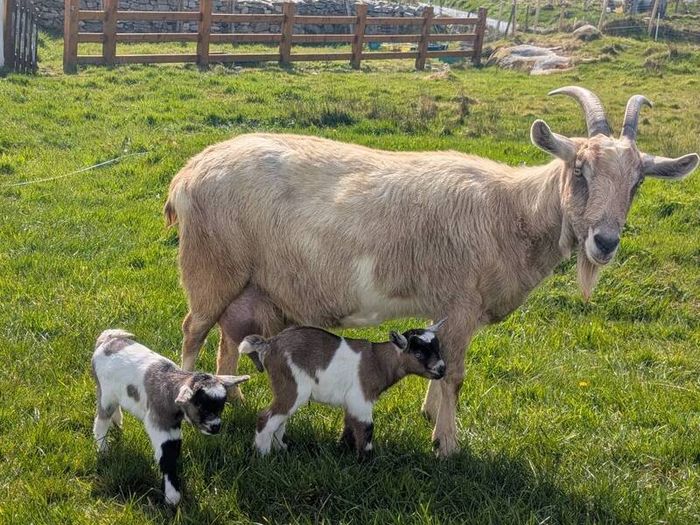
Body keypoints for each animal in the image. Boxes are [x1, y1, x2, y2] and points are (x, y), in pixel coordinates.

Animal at [91, 329, 249, 505]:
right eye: (201, 406)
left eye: (221, 406)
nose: (215, 427)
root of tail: (108, 339)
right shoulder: (160, 422)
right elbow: (167, 453)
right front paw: (172, 497)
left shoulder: (172, 425)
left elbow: (173, 449)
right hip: (105, 393)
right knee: (101, 422)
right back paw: (103, 449)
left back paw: (118, 422)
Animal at [238, 320, 446, 457]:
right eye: (419, 354)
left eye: (438, 349)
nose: (442, 369)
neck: (378, 360)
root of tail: (269, 344)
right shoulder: (361, 397)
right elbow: (366, 427)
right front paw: (367, 460)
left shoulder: (352, 402)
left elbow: (350, 424)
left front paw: (343, 449)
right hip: (292, 386)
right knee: (266, 417)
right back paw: (263, 455)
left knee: (280, 419)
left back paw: (281, 448)